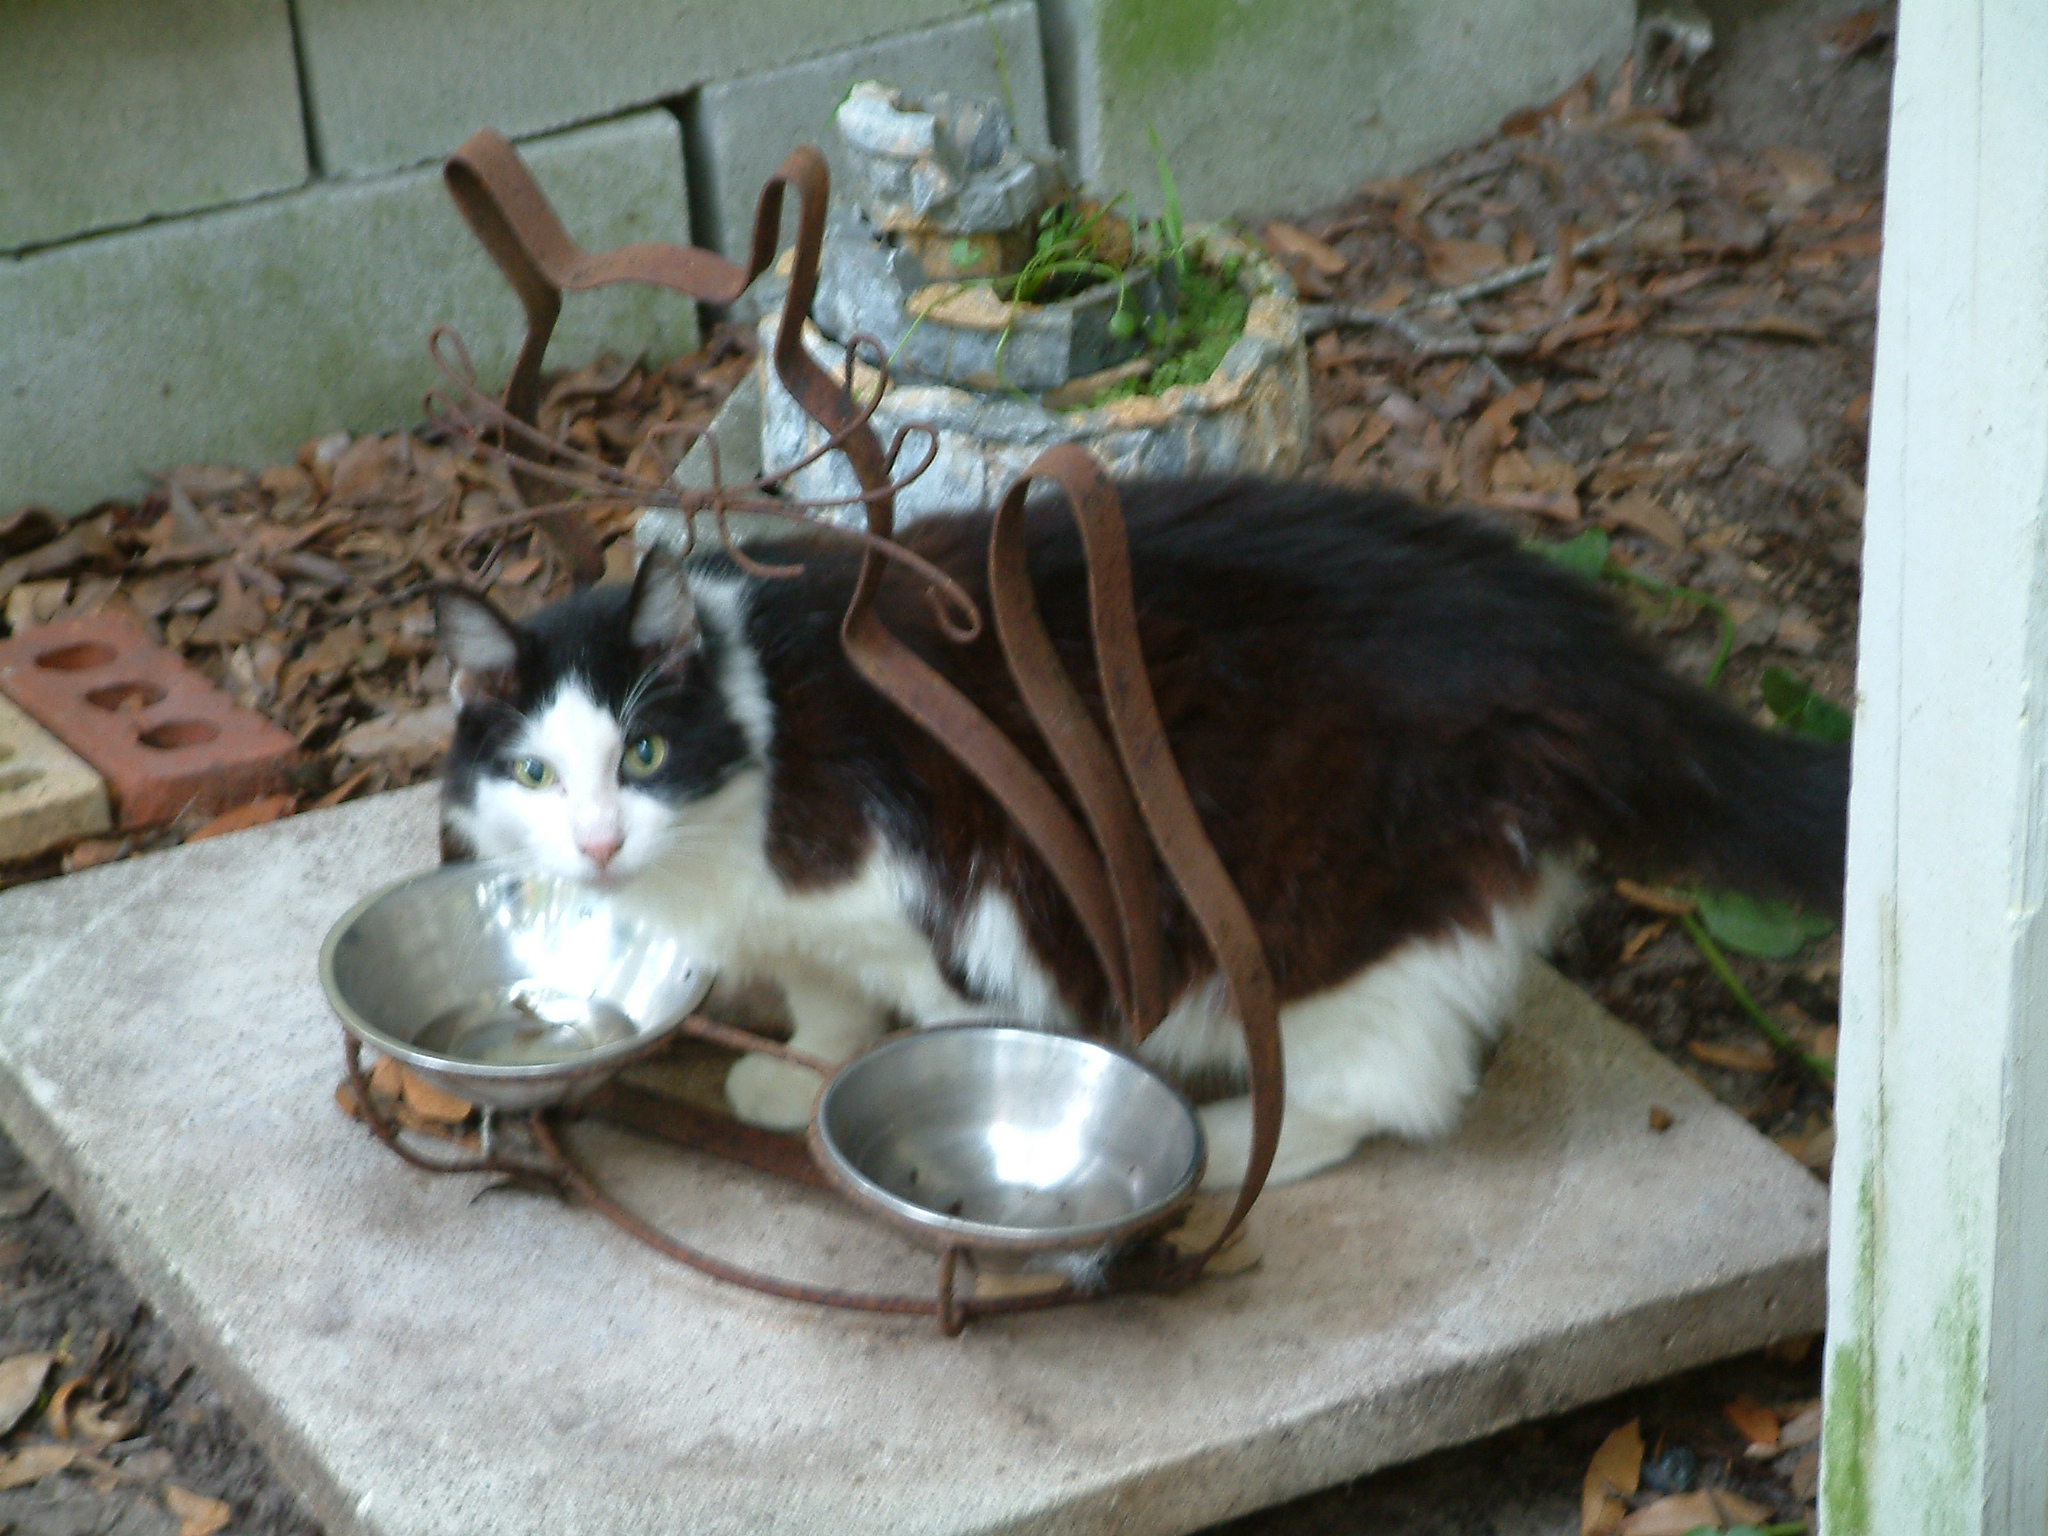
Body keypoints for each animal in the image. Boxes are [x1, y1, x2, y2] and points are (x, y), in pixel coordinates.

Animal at [434, 476, 1847, 1188]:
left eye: (642, 755)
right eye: (535, 774)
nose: (596, 846)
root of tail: (1578, 640)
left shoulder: (928, 912)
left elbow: (935, 1033)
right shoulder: (806, 937)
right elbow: (823, 1006)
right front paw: (798, 1075)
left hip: (1321, 920)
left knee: (1381, 1090)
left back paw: (1224, 1149)